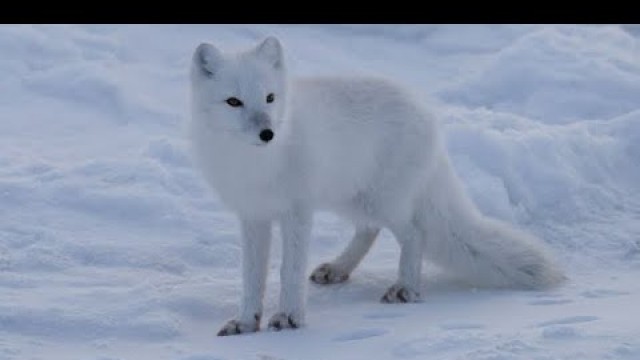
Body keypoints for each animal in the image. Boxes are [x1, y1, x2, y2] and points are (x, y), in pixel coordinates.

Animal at [190, 35, 564, 334]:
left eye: (270, 98)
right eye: (233, 101)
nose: (268, 133)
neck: (256, 165)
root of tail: (427, 112)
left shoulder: (297, 213)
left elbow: (289, 272)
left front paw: (289, 317)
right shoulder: (253, 216)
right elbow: (251, 277)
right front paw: (246, 322)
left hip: (381, 201)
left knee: (414, 234)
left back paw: (405, 288)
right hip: (351, 198)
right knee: (369, 230)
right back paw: (339, 269)